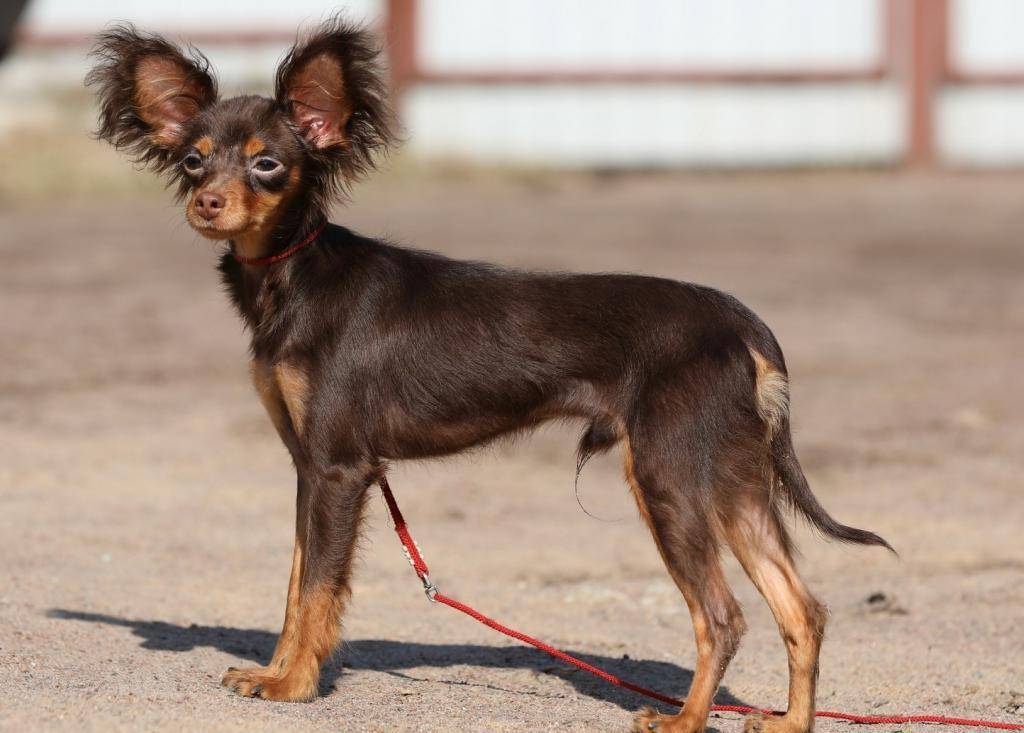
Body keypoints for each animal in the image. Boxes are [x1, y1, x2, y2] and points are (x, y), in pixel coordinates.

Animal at [86, 17, 888, 733]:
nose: (206, 202)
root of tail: (739, 322)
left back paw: (684, 720)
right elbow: (294, 586)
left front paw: (295, 686)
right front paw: (277, 671)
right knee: (802, 609)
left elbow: (316, 588)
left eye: (267, 165)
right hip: (731, 479)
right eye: (194, 161)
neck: (298, 274)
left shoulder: (339, 469)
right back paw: (790, 721)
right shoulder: (308, 466)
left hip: (667, 477)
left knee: (722, 616)